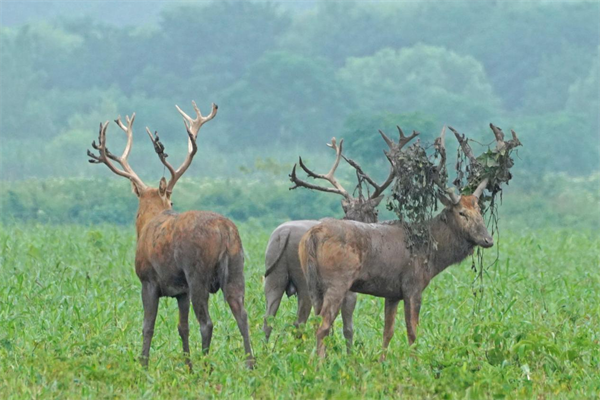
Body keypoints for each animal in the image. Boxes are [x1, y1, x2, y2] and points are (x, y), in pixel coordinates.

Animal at [85, 101, 252, 370]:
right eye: (172, 199)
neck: (149, 222)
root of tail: (225, 231)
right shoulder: (180, 291)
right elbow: (182, 327)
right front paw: (187, 366)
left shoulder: (149, 280)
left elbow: (148, 326)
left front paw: (143, 365)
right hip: (237, 268)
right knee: (242, 313)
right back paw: (250, 364)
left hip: (197, 272)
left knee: (207, 323)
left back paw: (207, 367)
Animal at [262, 129, 418, 350]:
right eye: (376, 211)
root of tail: (285, 234)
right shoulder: (349, 290)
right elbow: (347, 327)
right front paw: (348, 352)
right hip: (305, 281)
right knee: (300, 322)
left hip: (273, 275)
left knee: (268, 320)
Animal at [298, 123, 520, 358]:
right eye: (461, 213)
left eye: (479, 210)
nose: (487, 239)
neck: (432, 255)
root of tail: (313, 235)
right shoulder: (413, 284)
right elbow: (412, 332)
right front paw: (415, 361)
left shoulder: (392, 292)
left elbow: (388, 332)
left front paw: (382, 361)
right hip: (338, 280)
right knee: (323, 327)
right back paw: (320, 362)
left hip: (312, 282)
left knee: (314, 322)